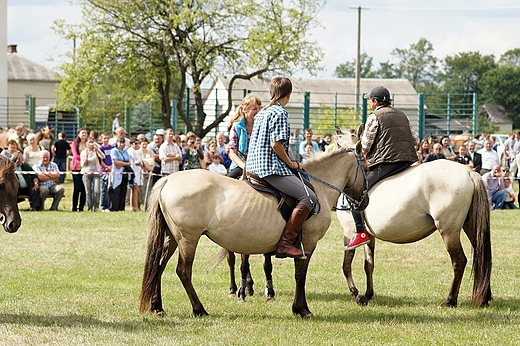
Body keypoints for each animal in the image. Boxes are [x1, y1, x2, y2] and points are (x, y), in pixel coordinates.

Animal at [140, 145, 368, 318]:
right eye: (366, 169)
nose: (365, 201)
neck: (318, 188)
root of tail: (168, 179)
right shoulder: (308, 243)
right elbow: (300, 276)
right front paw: (301, 309)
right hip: (188, 238)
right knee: (183, 271)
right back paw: (199, 309)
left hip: (173, 238)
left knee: (158, 267)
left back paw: (158, 307)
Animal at [338, 131, 492, 306]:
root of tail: (469, 172)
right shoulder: (369, 236)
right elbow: (368, 264)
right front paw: (368, 294)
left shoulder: (350, 231)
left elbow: (346, 265)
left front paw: (356, 294)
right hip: (471, 227)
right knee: (482, 257)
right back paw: (484, 297)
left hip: (449, 231)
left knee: (459, 261)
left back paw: (450, 300)